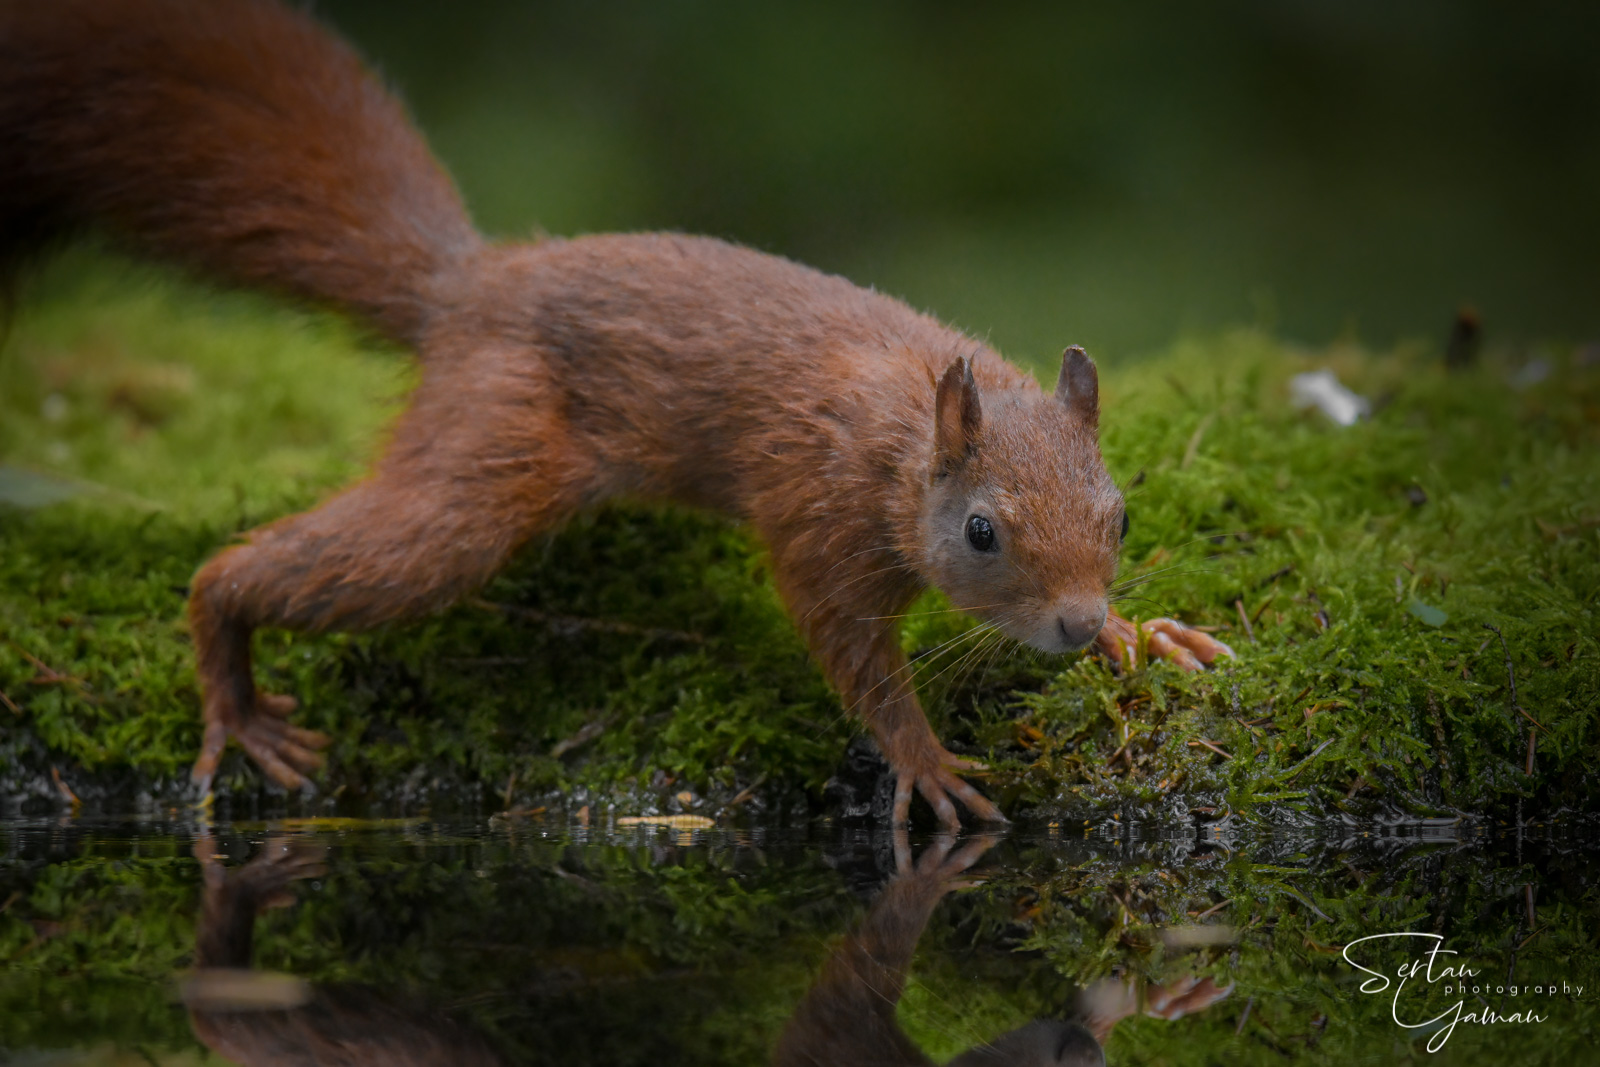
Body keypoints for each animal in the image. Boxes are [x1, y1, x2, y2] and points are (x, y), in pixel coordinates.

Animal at [0, 0, 1231, 827]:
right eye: (980, 530)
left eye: (1120, 515)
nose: (1073, 620)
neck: (896, 437)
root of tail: (469, 285)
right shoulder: (814, 508)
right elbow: (848, 648)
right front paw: (924, 761)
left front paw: (1140, 630)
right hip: (482, 461)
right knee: (273, 568)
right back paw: (236, 687)